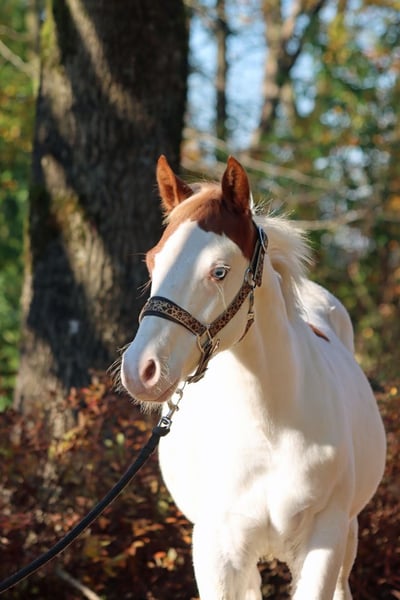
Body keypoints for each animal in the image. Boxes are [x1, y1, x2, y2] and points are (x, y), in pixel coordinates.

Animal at [120, 155, 386, 600]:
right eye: (153, 261)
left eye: (219, 271)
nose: (141, 369)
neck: (270, 429)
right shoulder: (216, 548)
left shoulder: (325, 538)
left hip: (348, 533)